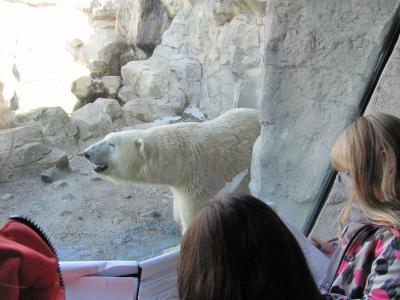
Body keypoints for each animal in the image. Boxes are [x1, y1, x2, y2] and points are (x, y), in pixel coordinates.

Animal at [83, 108, 260, 232]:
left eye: (111, 144)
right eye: (105, 138)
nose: (86, 153)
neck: (179, 158)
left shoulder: (199, 181)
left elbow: (194, 217)